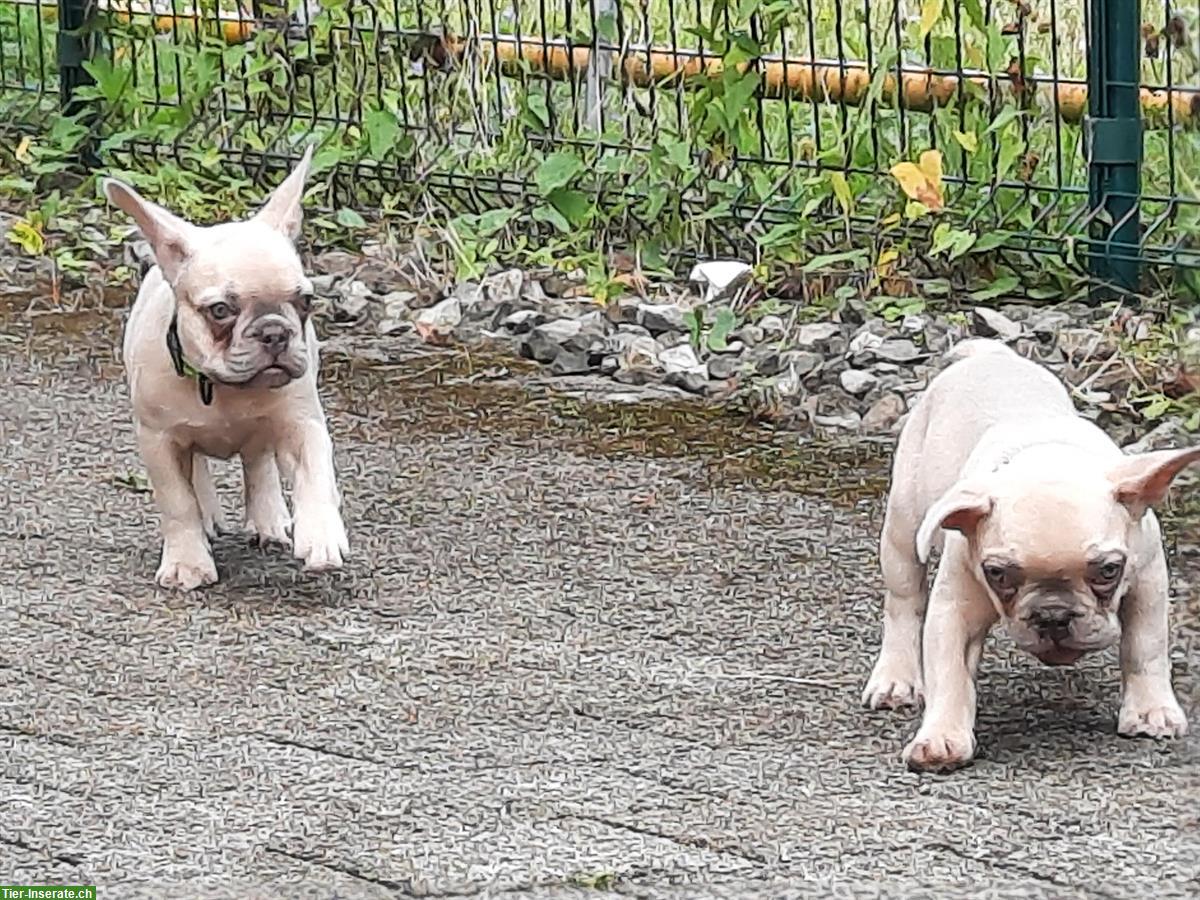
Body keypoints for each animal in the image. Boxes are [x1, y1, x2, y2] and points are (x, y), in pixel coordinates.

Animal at [103, 148, 350, 595]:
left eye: (305, 300)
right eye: (220, 310)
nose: (274, 331)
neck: (226, 388)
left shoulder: (301, 422)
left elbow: (315, 475)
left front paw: (321, 535)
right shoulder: (158, 440)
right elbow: (178, 501)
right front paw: (187, 562)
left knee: (258, 462)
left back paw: (269, 519)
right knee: (199, 472)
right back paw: (209, 517)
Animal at [868, 338, 1195, 777]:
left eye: (1109, 570)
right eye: (997, 573)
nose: (1052, 614)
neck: (1045, 457)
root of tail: (988, 356)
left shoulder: (1147, 580)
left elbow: (1145, 646)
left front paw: (1150, 711)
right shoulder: (954, 607)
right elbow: (949, 671)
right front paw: (940, 738)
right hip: (904, 527)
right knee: (904, 602)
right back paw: (896, 679)